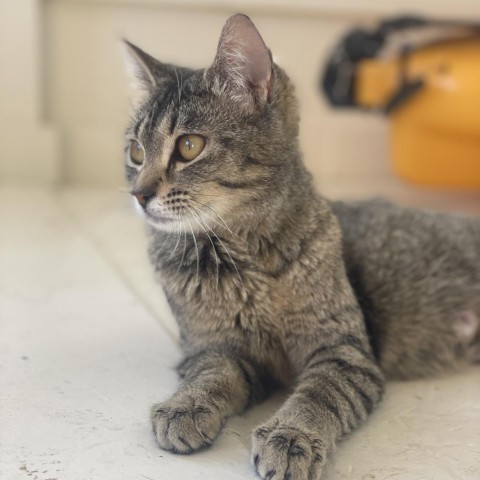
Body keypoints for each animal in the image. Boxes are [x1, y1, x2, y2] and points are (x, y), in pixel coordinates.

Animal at [121, 14, 480, 480]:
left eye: (189, 146)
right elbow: (212, 372)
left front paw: (291, 436)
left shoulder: (344, 351)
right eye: (135, 152)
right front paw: (187, 405)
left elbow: (319, 395)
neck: (242, 257)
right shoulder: (215, 348)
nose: (139, 195)